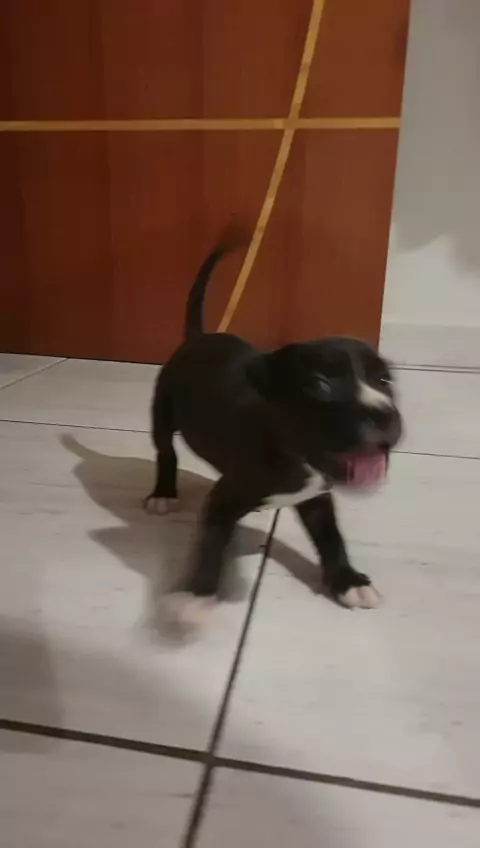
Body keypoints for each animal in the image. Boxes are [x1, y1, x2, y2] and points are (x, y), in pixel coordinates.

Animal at [145, 233, 403, 627]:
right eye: (321, 385)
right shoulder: (225, 499)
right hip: (164, 407)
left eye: (385, 380)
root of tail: (198, 337)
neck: (290, 451)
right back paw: (163, 493)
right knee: (166, 451)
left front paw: (348, 581)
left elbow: (331, 537)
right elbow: (212, 543)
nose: (384, 414)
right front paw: (198, 593)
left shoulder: (316, 497)